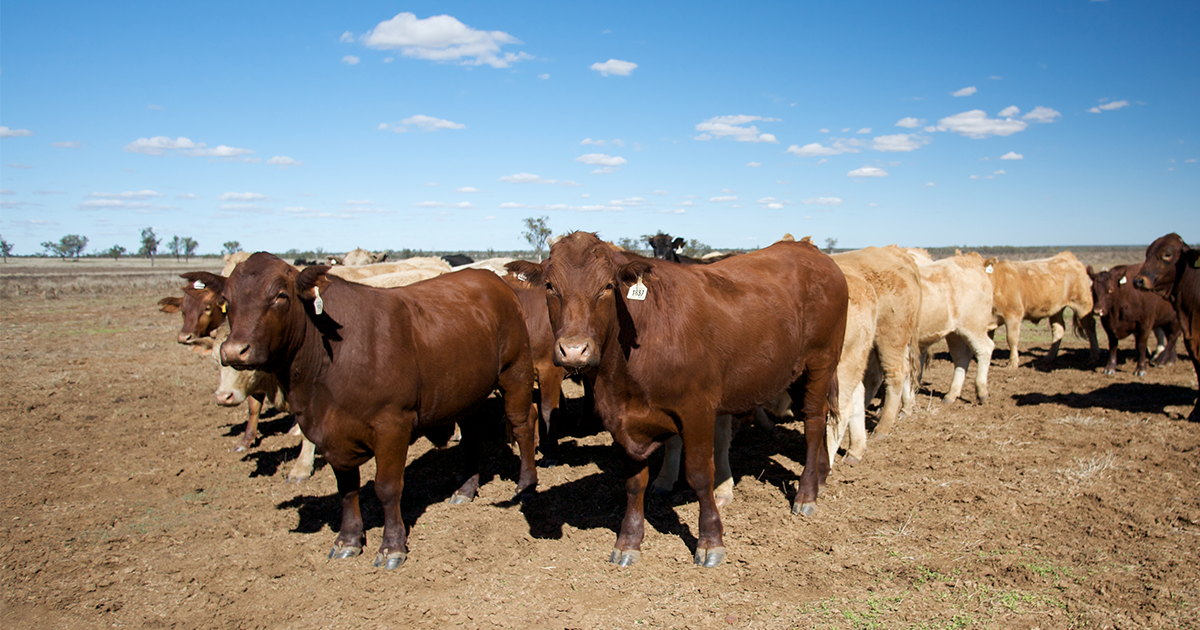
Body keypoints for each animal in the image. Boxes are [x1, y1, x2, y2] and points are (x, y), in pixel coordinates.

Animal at [202, 253, 540, 566]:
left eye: (280, 295)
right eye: (226, 300)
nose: (234, 351)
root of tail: (490, 278)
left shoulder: (392, 424)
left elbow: (387, 487)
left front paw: (392, 546)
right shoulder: (330, 432)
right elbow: (347, 489)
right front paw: (348, 539)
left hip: (516, 372)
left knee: (522, 424)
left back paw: (526, 486)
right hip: (464, 391)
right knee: (471, 434)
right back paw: (465, 490)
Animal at [544, 230, 844, 564]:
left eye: (608, 286)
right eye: (549, 286)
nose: (574, 350)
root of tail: (806, 248)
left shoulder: (697, 410)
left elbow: (700, 475)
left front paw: (710, 540)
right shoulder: (619, 418)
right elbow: (634, 483)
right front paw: (628, 541)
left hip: (821, 361)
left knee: (814, 421)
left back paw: (806, 494)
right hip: (793, 370)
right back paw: (821, 476)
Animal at [907, 249, 993, 403]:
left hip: (974, 327)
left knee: (985, 349)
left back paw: (982, 392)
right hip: (955, 333)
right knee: (961, 357)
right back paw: (951, 394)